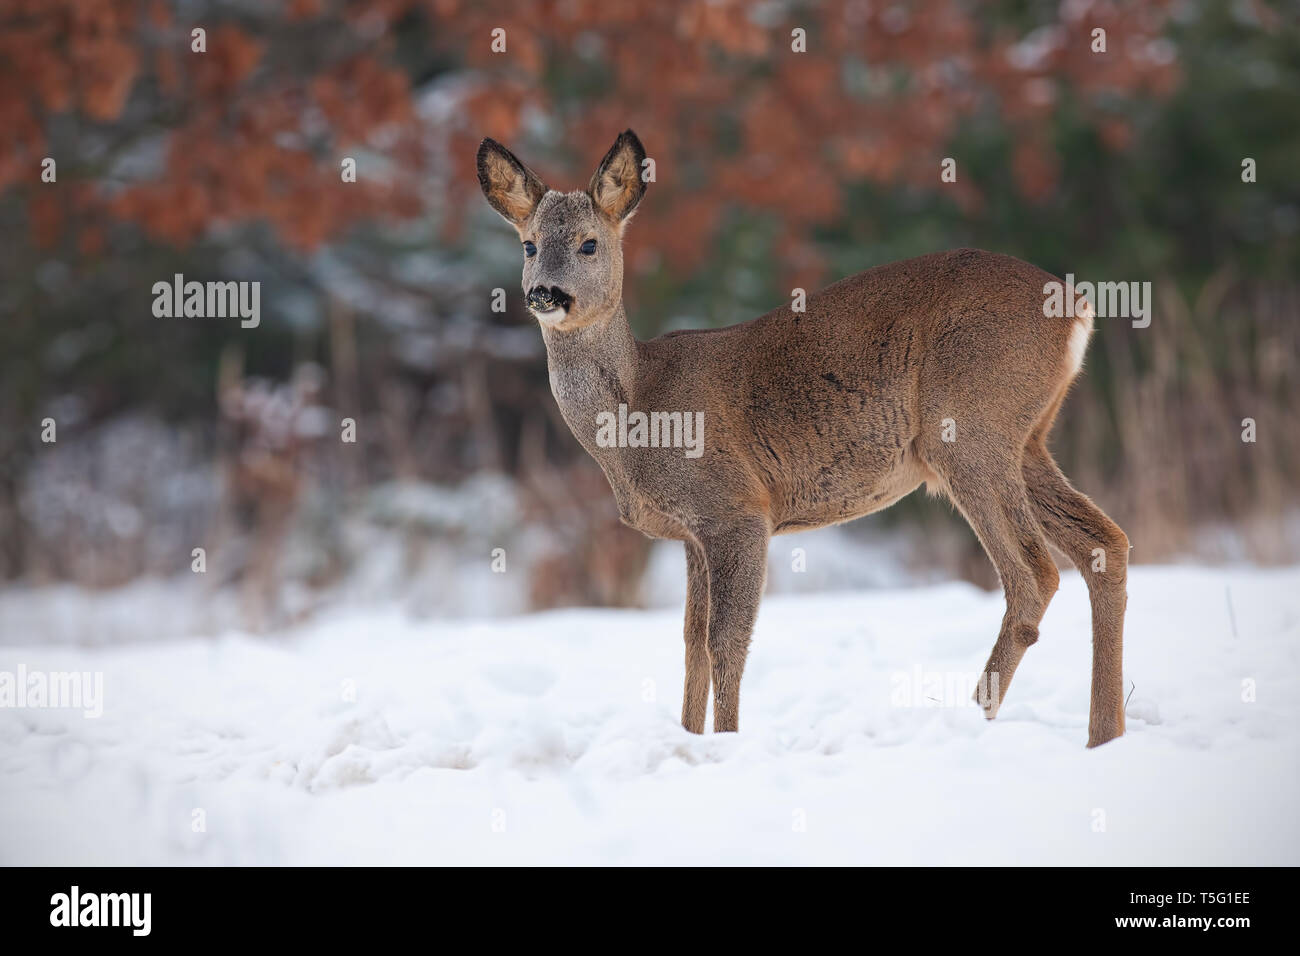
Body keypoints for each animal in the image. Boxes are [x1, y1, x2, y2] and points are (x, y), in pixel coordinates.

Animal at [478, 127, 1128, 749]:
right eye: (529, 245)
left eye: (589, 243)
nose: (544, 293)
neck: (637, 409)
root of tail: (1078, 306)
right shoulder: (691, 534)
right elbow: (688, 643)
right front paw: (688, 740)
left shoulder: (737, 508)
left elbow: (724, 642)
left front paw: (727, 744)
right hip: (1026, 438)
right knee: (1105, 543)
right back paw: (1104, 735)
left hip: (970, 428)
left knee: (1034, 573)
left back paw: (975, 718)